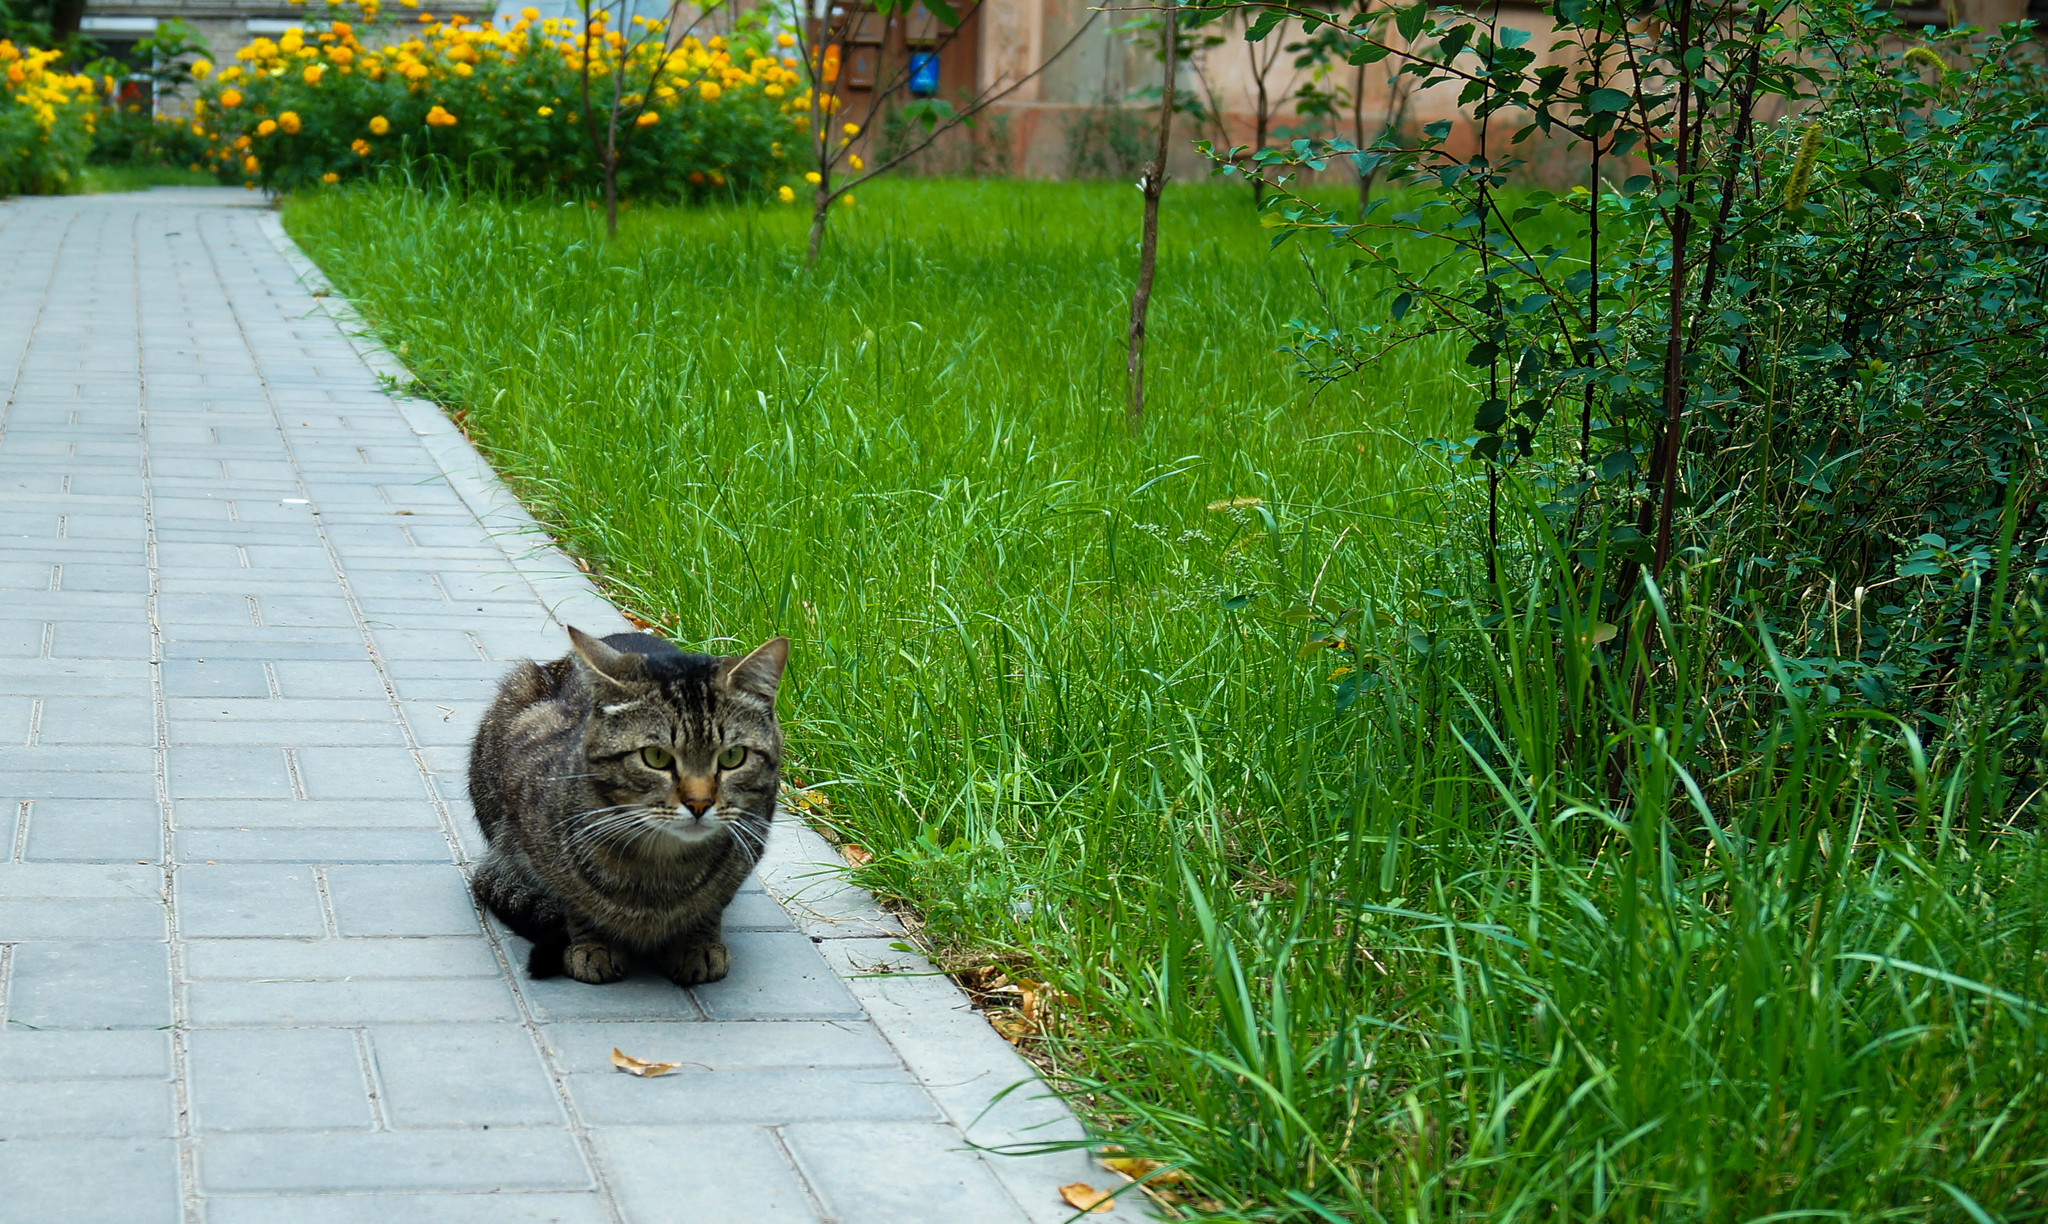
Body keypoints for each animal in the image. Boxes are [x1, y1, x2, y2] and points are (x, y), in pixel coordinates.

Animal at [468, 634, 786, 986]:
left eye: (733, 757)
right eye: (656, 757)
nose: (699, 803)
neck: (660, 865)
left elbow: (713, 902)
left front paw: (696, 942)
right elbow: (572, 896)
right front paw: (593, 943)